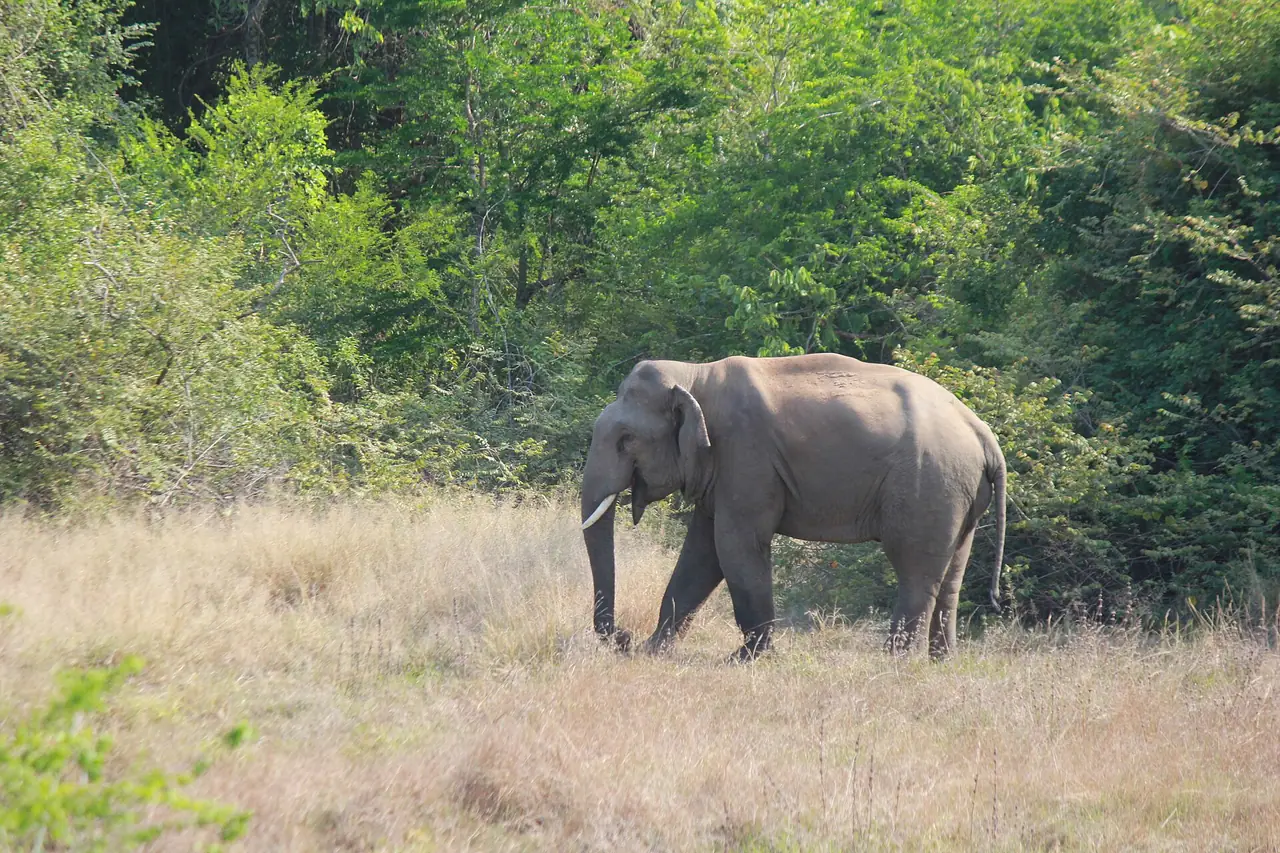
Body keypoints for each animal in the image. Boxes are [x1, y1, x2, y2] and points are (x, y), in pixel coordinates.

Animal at [579, 353, 1006, 661]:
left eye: (626, 440)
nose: (622, 637)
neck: (695, 375)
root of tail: (984, 434)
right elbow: (702, 554)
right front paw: (653, 651)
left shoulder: (745, 455)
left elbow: (734, 546)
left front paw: (747, 659)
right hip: (958, 493)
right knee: (951, 575)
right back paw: (941, 662)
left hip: (929, 484)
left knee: (915, 571)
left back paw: (895, 663)